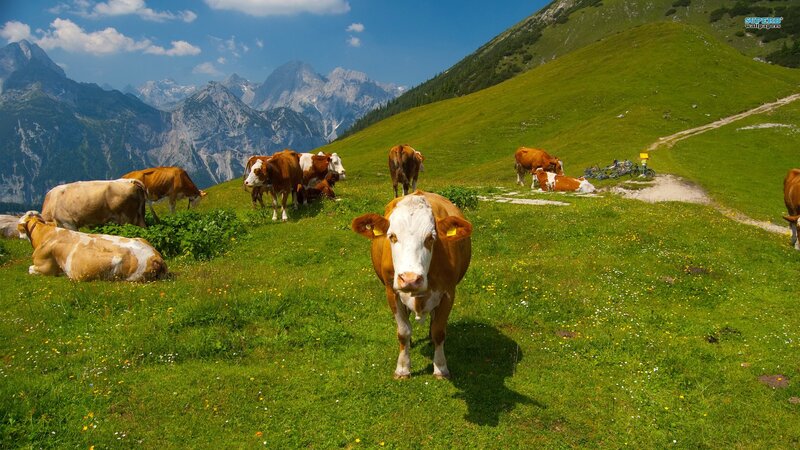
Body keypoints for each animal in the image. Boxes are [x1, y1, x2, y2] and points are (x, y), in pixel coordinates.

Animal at [351, 191, 473, 379]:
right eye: (392, 236)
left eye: (430, 238)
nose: (410, 279)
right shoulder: (391, 292)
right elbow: (403, 332)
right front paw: (403, 368)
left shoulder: (448, 293)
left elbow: (439, 331)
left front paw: (440, 367)